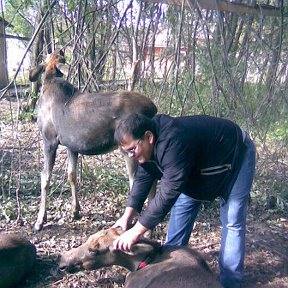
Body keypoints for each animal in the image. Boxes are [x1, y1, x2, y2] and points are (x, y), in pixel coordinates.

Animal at [29, 50, 158, 232]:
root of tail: (153, 108)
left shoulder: (49, 140)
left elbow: (45, 178)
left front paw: (40, 220)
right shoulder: (71, 146)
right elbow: (72, 174)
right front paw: (75, 211)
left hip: (130, 150)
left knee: (136, 182)